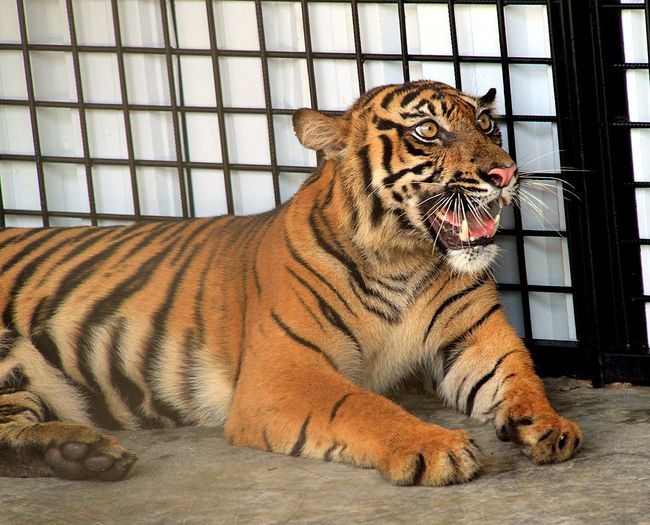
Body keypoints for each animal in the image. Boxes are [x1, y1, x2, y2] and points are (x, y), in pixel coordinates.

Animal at [0, 80, 582, 486]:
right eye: (427, 131)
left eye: (486, 124)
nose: (506, 175)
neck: (403, 260)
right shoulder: (283, 371)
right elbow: (361, 405)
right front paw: (435, 447)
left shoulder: (476, 340)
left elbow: (521, 377)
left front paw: (548, 426)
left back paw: (81, 455)